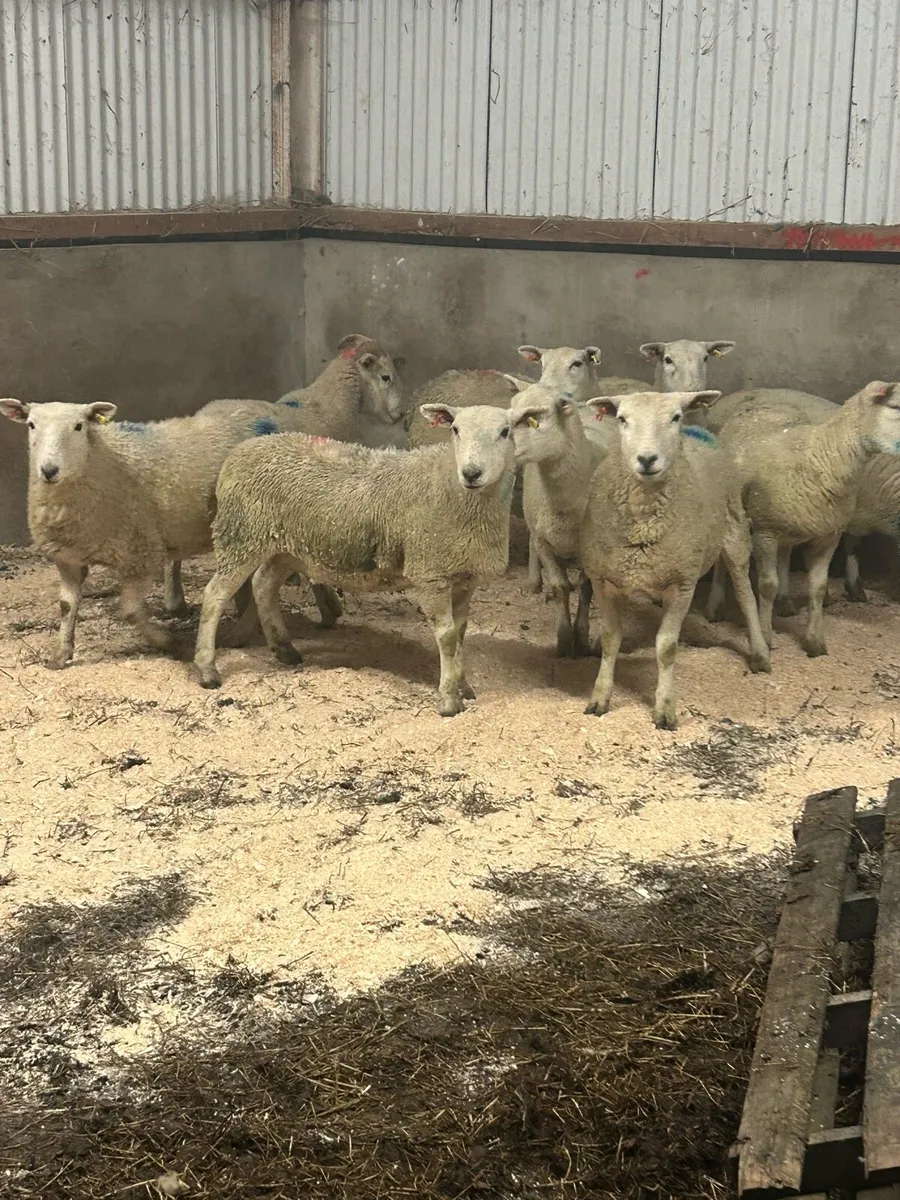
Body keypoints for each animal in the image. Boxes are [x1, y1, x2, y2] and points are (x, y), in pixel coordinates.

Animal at [192, 405, 517, 716]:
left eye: (505, 431)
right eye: (455, 429)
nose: (472, 473)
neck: (451, 484)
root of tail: (241, 451)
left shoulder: (465, 579)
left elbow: (460, 635)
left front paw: (463, 686)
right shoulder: (431, 575)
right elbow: (448, 637)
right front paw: (449, 700)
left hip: (286, 546)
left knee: (263, 584)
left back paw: (284, 649)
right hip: (242, 534)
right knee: (215, 595)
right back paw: (207, 670)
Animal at [508, 384, 608, 657]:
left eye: (532, 417)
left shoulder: (592, 550)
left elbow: (586, 589)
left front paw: (582, 639)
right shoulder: (543, 542)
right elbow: (560, 587)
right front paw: (564, 640)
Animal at [577, 390, 771, 729]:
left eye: (674, 417)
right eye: (622, 419)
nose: (646, 459)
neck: (644, 518)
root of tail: (697, 432)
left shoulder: (683, 584)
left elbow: (667, 648)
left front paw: (665, 709)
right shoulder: (604, 580)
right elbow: (610, 640)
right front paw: (599, 698)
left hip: (735, 531)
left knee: (746, 593)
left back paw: (759, 652)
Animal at [704, 382, 900, 657]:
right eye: (895, 406)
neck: (822, 455)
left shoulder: (829, 536)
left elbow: (817, 586)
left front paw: (814, 642)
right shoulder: (765, 531)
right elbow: (767, 585)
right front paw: (766, 637)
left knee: (784, 554)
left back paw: (785, 603)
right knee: (725, 560)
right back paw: (715, 605)